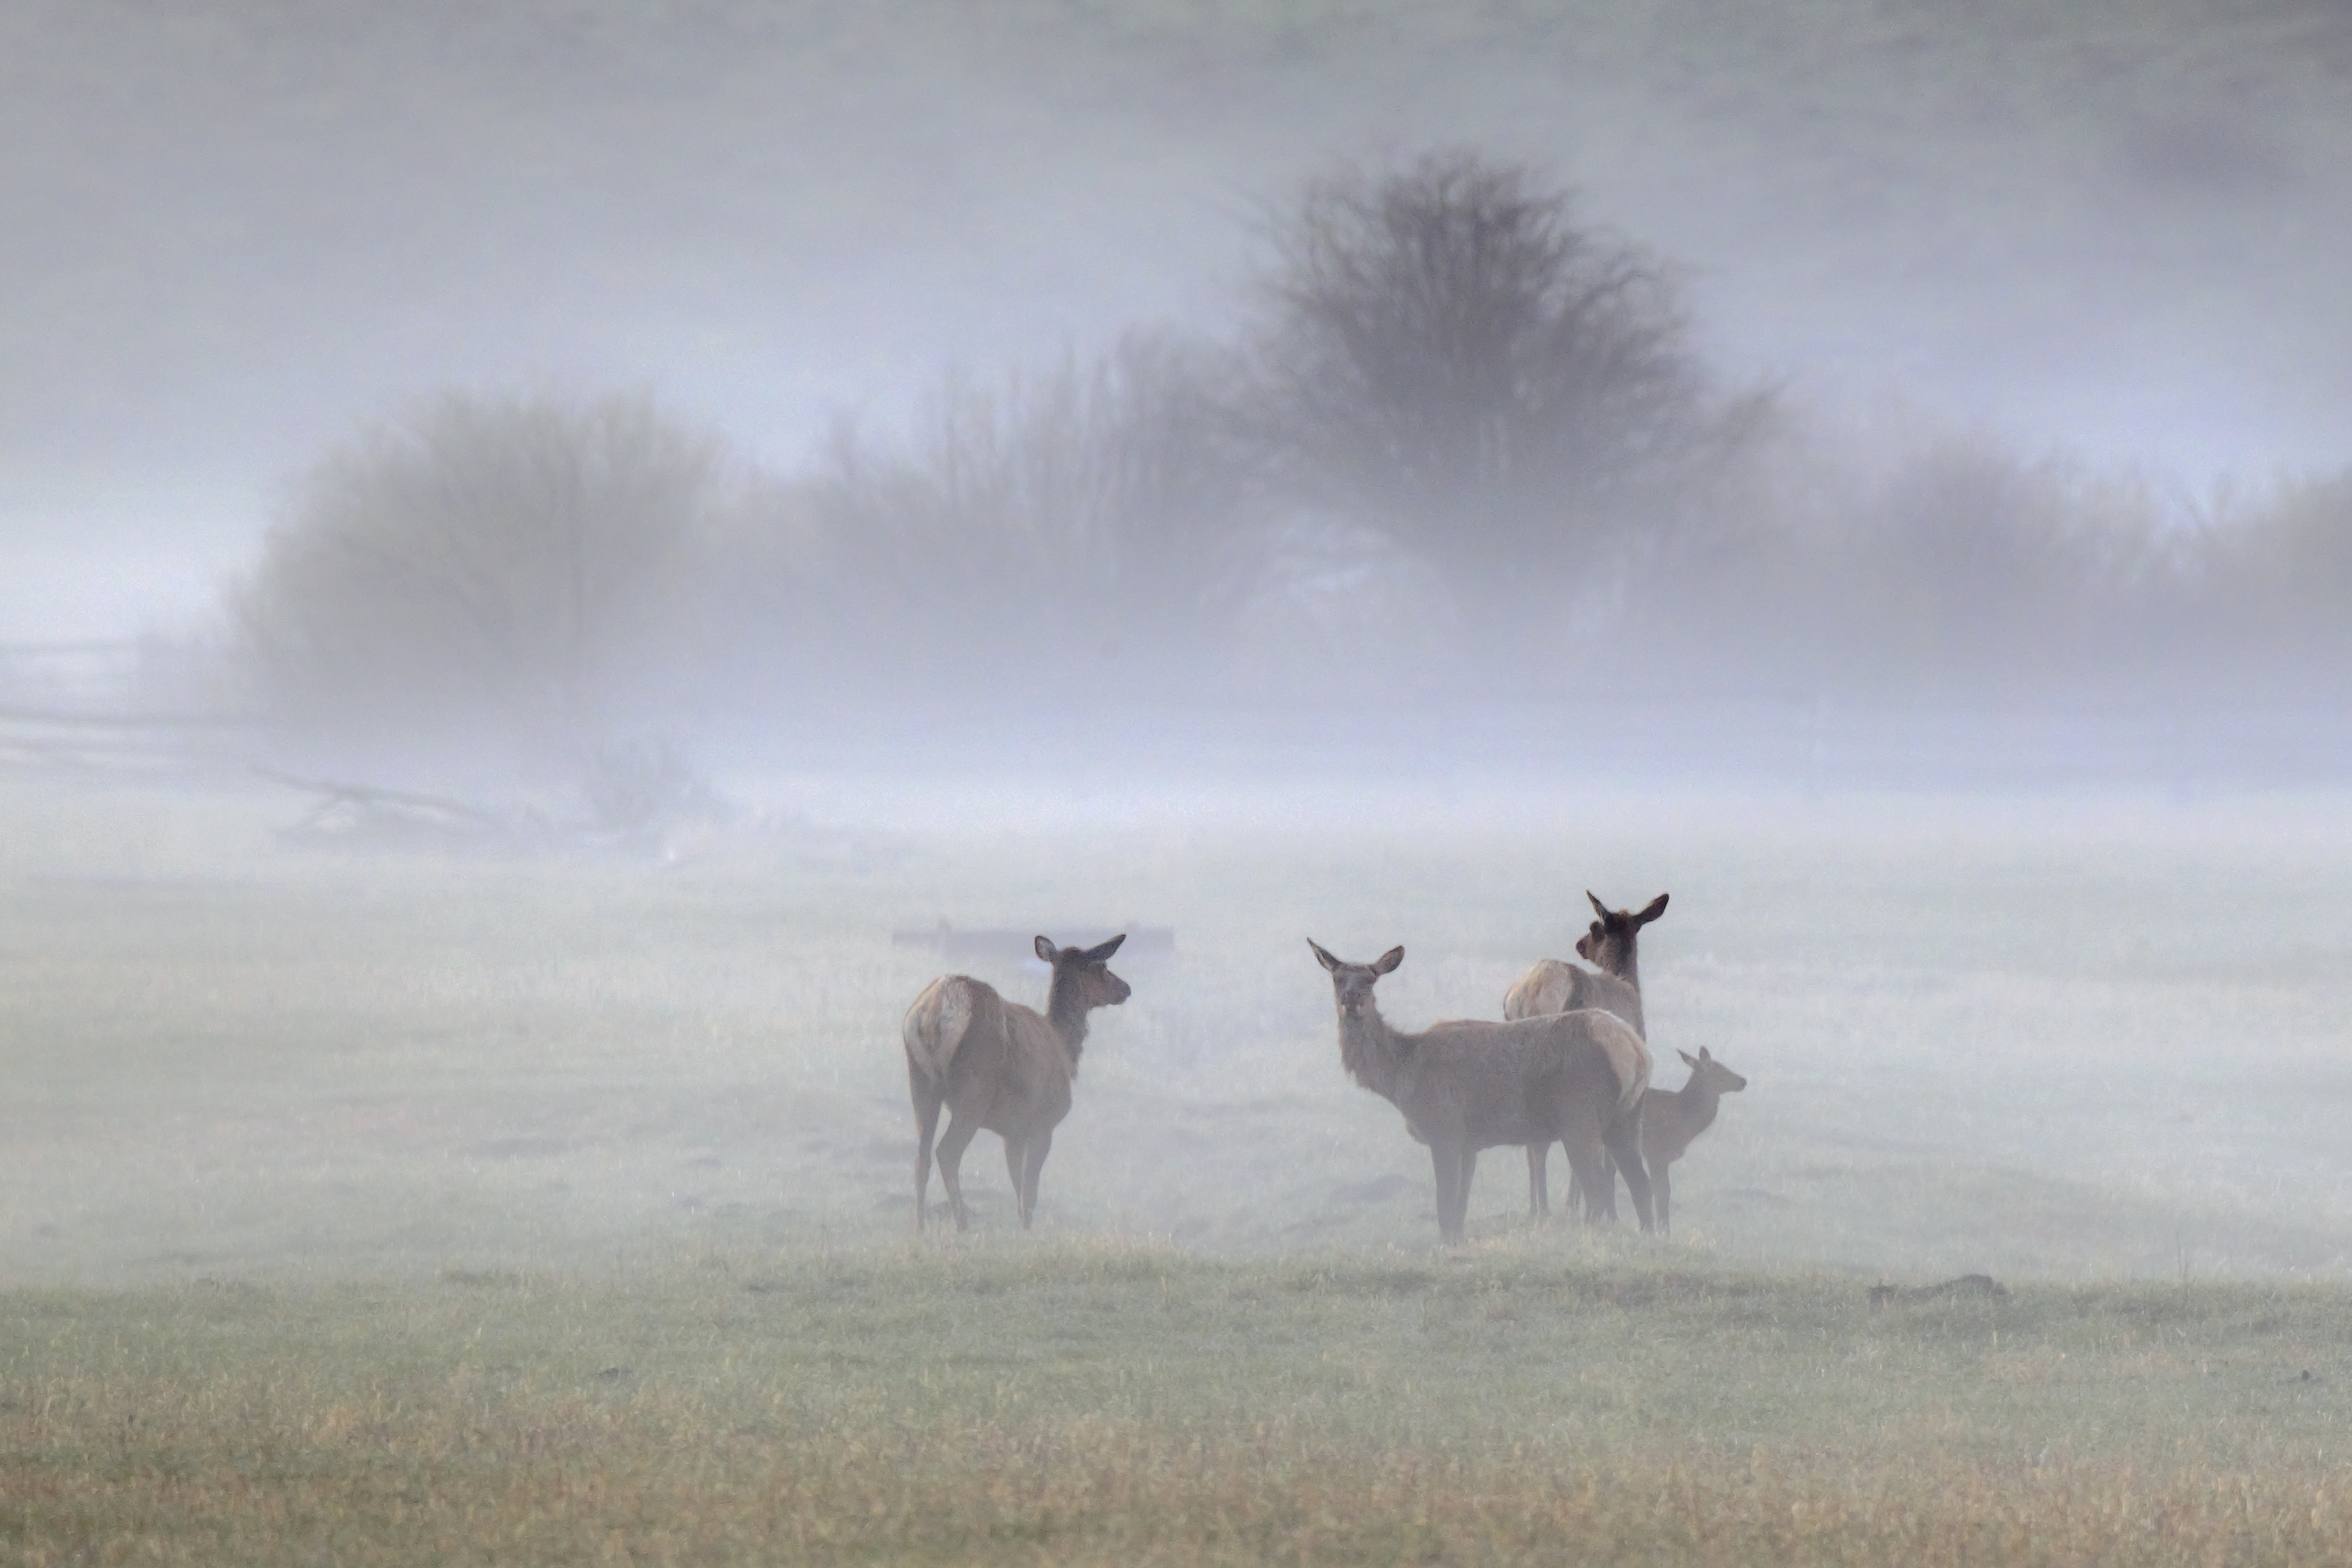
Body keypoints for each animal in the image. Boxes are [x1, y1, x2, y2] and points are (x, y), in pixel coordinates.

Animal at [903, 934, 1129, 1232]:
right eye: (1102, 966)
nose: (1125, 988)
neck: (1064, 1050)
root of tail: (936, 1010)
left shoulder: (1013, 1132)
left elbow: (1017, 1184)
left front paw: (1022, 1226)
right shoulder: (1043, 1121)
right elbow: (1030, 1189)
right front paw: (1028, 1232)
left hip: (921, 1080)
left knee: (921, 1157)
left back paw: (919, 1228)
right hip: (974, 1086)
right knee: (947, 1152)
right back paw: (962, 1225)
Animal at [1308, 939, 1652, 1244]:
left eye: (1371, 979)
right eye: (1338, 978)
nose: (1351, 999)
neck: (1400, 1077)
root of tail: (1636, 1052)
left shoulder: (1445, 1128)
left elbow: (1445, 1207)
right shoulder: (1469, 1143)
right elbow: (1460, 1210)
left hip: (1579, 1115)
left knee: (1597, 1188)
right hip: (1626, 1117)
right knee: (1639, 1182)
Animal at [1501, 891, 1668, 1218]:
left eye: (1593, 928)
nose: (1580, 944)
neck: (1628, 985)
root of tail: (1530, 996)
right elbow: (1607, 1160)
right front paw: (1605, 1214)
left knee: (1532, 1143)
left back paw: (1537, 1210)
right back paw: (1560, 1209)